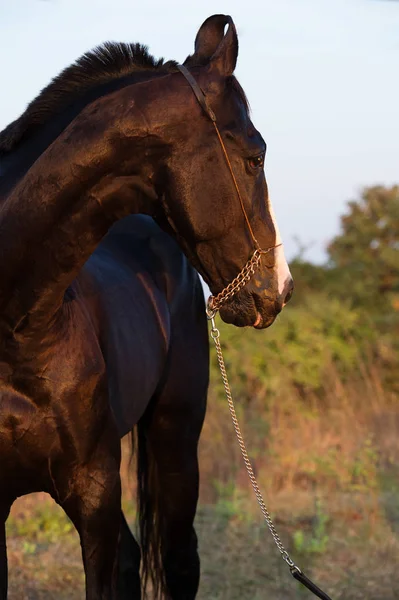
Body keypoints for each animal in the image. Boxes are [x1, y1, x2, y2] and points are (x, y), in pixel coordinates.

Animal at [0, 14, 294, 600]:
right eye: (255, 156)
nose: (280, 288)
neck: (18, 328)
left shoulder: (94, 491)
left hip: (174, 440)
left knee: (178, 561)